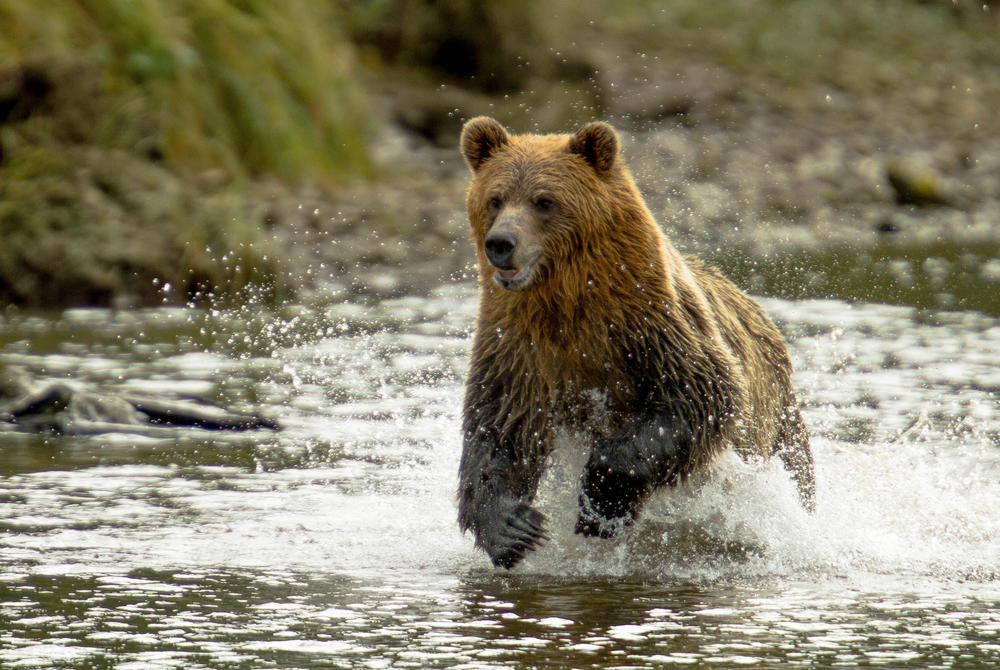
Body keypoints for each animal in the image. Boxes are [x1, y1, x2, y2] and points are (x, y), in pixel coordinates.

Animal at [458, 117, 816, 572]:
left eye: (544, 200)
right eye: (495, 198)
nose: (501, 243)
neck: (568, 304)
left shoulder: (651, 325)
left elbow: (697, 398)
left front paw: (599, 504)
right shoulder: (517, 347)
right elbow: (499, 430)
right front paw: (514, 528)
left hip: (778, 422)